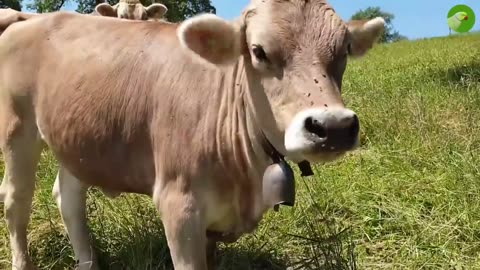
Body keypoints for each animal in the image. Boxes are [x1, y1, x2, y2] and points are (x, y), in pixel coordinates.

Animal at [0, 1, 384, 268]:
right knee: (17, 200)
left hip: (75, 137)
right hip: (18, 129)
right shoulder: (179, 206)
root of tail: (30, 19)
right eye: (258, 51)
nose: (332, 126)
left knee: (68, 198)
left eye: (344, 50)